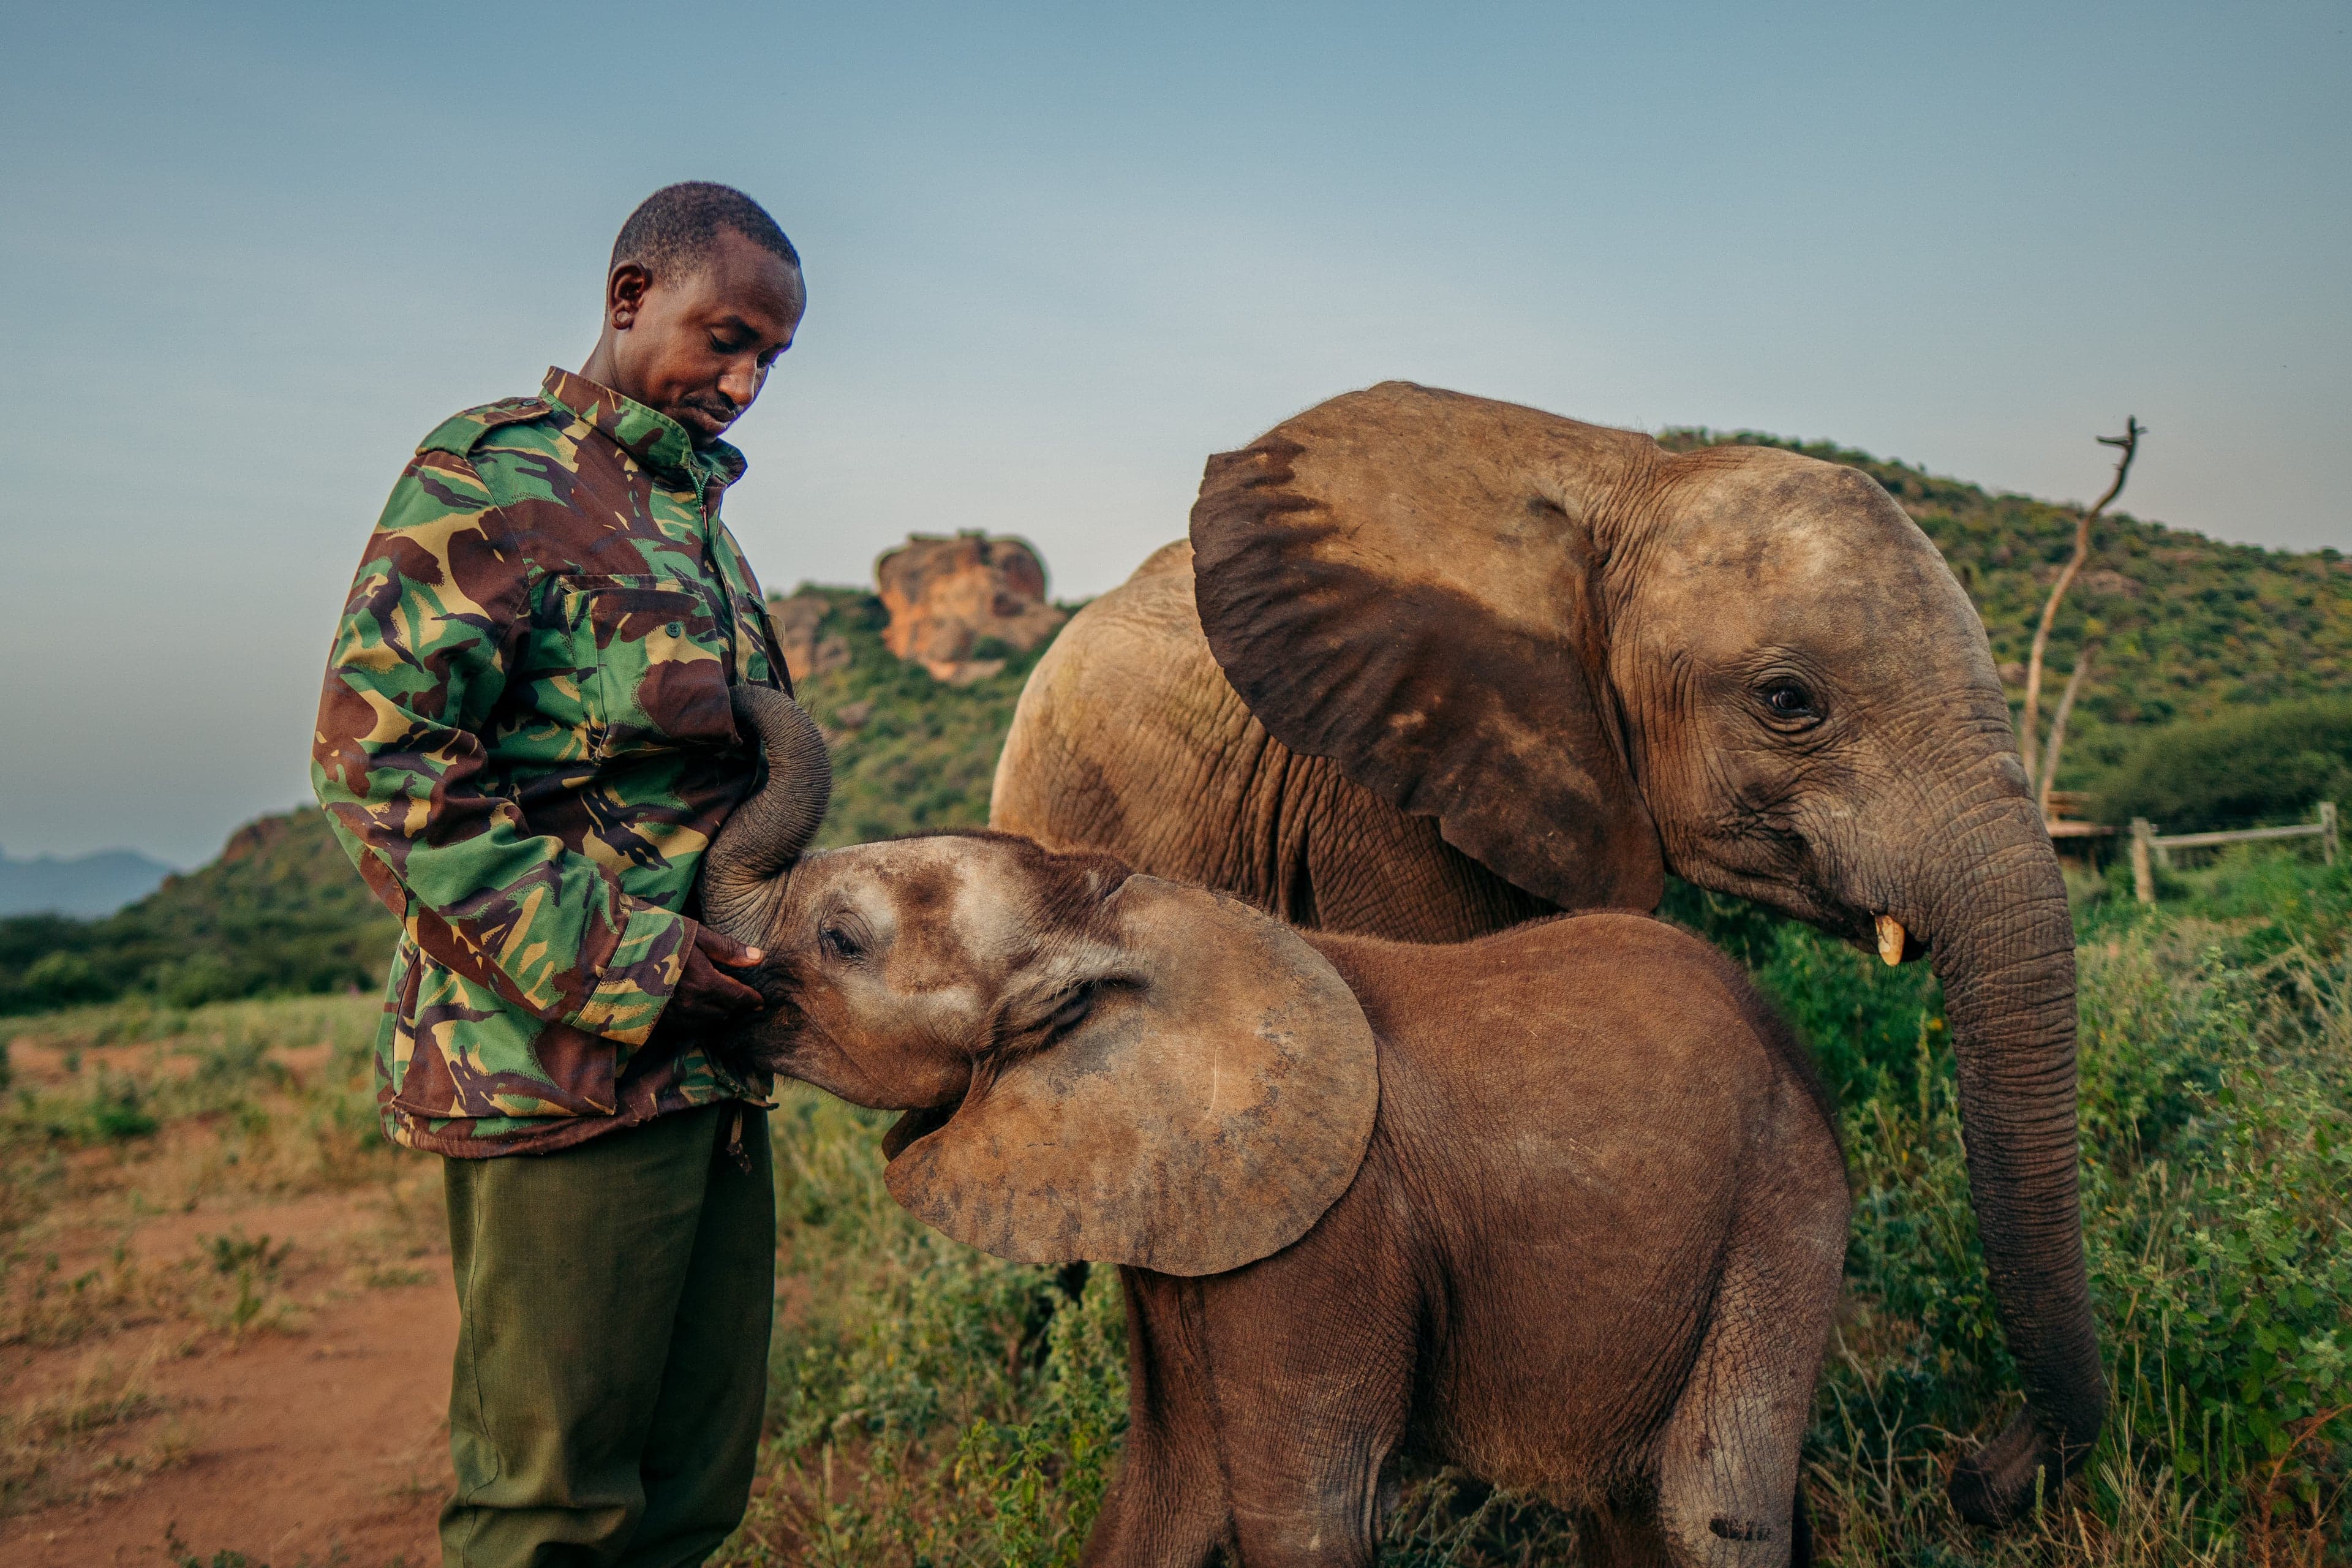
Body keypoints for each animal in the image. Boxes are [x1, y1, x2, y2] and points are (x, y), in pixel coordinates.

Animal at [701, 685, 1849, 1567]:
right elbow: (1165, 1498)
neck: (1109, 913)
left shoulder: (1330, 1237)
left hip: (1780, 1219)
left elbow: (1304, 1515)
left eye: (843, 941)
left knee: (1715, 1503)